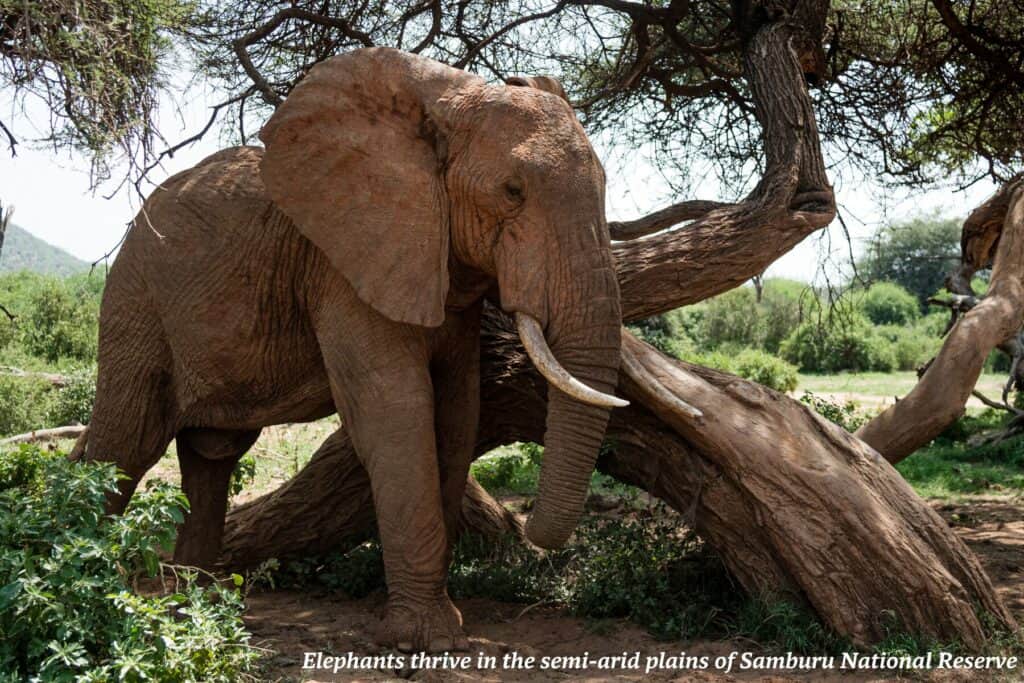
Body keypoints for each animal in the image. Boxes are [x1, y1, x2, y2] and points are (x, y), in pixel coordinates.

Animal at [74, 48, 622, 651]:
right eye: (512, 192)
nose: (525, 533)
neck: (446, 99)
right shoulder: (342, 266)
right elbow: (398, 409)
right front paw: (424, 640)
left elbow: (458, 412)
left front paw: (441, 625)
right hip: (138, 301)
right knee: (125, 442)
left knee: (211, 458)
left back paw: (199, 613)